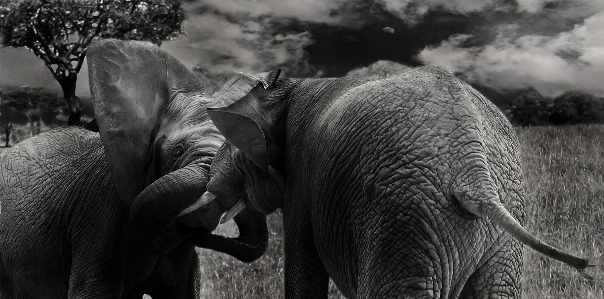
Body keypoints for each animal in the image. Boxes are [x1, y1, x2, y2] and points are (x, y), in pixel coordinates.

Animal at [197, 68, 588, 299]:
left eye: (231, 145)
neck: (289, 86)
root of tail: (472, 164)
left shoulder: (301, 177)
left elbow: (303, 274)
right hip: (501, 213)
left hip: (403, 212)